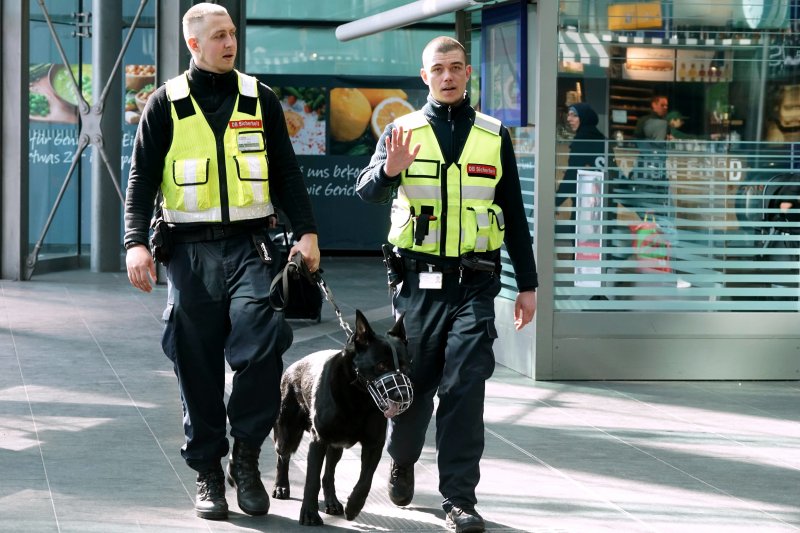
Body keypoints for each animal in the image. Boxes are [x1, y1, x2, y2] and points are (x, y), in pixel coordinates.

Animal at [274, 310, 412, 524]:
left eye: (405, 367)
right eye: (381, 365)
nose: (403, 395)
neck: (358, 398)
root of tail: (292, 367)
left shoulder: (374, 445)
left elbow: (366, 480)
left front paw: (354, 506)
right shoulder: (318, 440)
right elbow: (311, 480)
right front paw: (309, 513)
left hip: (336, 447)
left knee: (328, 474)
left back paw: (331, 501)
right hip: (288, 432)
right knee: (283, 456)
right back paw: (281, 486)